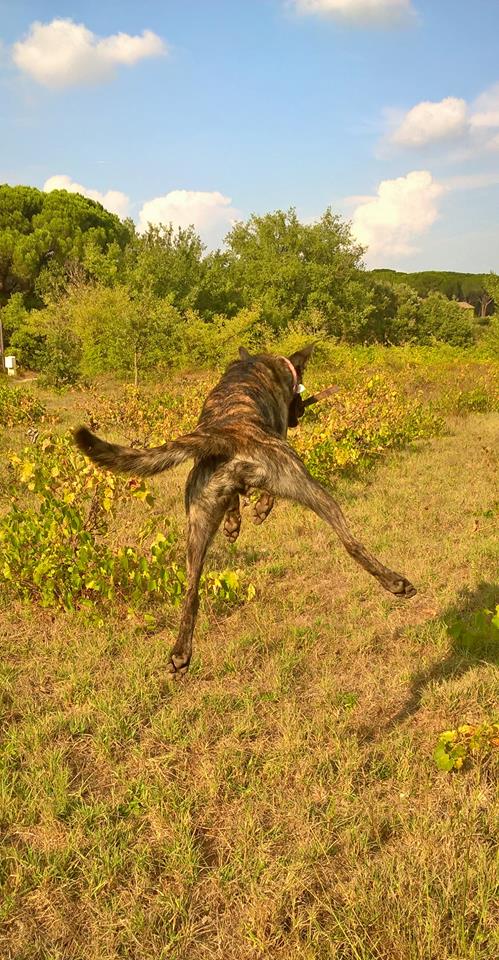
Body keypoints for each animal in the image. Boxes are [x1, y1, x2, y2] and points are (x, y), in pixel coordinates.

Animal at [75, 344, 418, 676]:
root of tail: (225, 435)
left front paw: (234, 524)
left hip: (197, 522)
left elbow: (234, 503)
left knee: (191, 591)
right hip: (305, 482)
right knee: (350, 542)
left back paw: (181, 654)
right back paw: (395, 582)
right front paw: (261, 509)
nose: (299, 413)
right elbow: (267, 496)